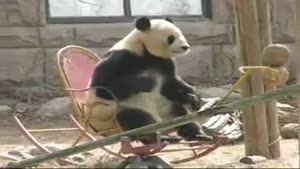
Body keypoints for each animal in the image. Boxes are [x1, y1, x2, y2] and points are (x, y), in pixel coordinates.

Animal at [85, 16, 204, 144]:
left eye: (181, 34)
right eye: (171, 38)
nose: (185, 47)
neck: (145, 51)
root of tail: (162, 122)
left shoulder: (163, 62)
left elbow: (171, 84)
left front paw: (194, 99)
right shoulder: (121, 57)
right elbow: (102, 87)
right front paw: (147, 82)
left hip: (168, 106)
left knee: (182, 115)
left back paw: (196, 134)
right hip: (119, 111)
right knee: (136, 119)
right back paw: (160, 137)